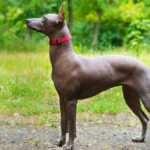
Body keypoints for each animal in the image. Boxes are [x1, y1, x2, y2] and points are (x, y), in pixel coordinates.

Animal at [26, 3, 150, 150]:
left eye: (44, 18)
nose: (27, 20)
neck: (64, 58)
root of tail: (145, 66)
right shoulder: (62, 99)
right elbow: (63, 122)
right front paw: (61, 142)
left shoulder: (71, 100)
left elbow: (71, 126)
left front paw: (69, 145)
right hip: (130, 97)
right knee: (144, 118)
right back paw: (140, 138)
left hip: (145, 97)